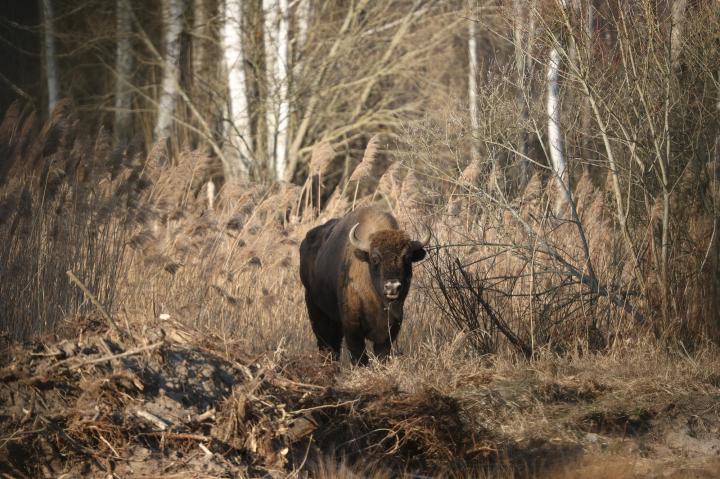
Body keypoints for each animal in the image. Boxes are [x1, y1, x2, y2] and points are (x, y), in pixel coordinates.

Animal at [299, 206, 429, 365]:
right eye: (375, 258)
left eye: (407, 257)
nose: (392, 287)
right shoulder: (352, 328)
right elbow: (359, 355)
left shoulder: (391, 328)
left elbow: (382, 353)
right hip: (315, 309)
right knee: (325, 343)